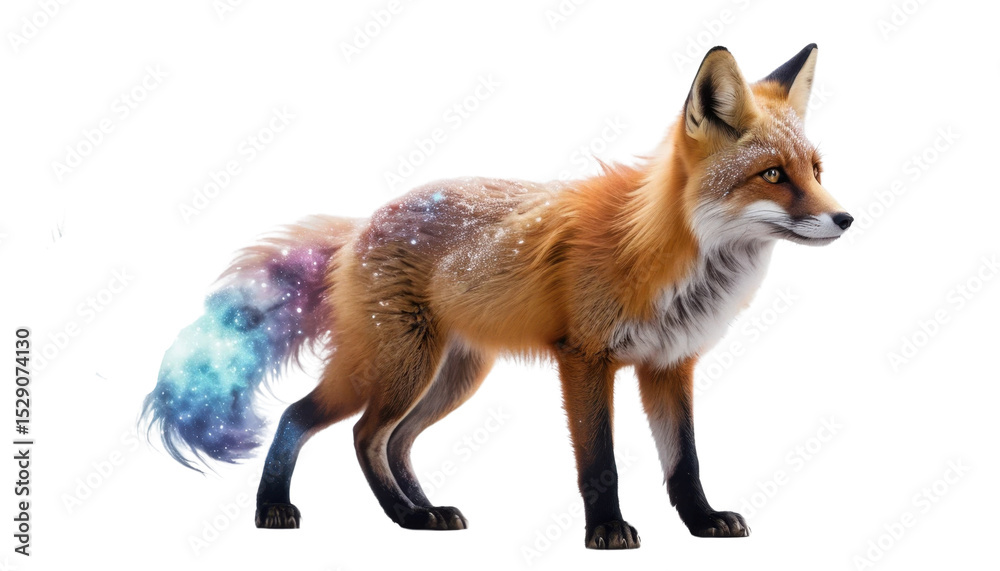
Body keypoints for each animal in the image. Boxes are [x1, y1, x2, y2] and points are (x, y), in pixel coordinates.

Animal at [142, 44, 852, 549]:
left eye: (816, 171)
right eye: (772, 175)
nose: (846, 219)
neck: (666, 256)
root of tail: (363, 223)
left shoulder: (670, 364)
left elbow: (686, 462)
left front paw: (702, 523)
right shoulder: (584, 357)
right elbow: (600, 460)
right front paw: (606, 531)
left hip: (451, 377)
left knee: (390, 442)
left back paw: (422, 513)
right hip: (396, 369)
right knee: (324, 423)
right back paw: (301, 510)